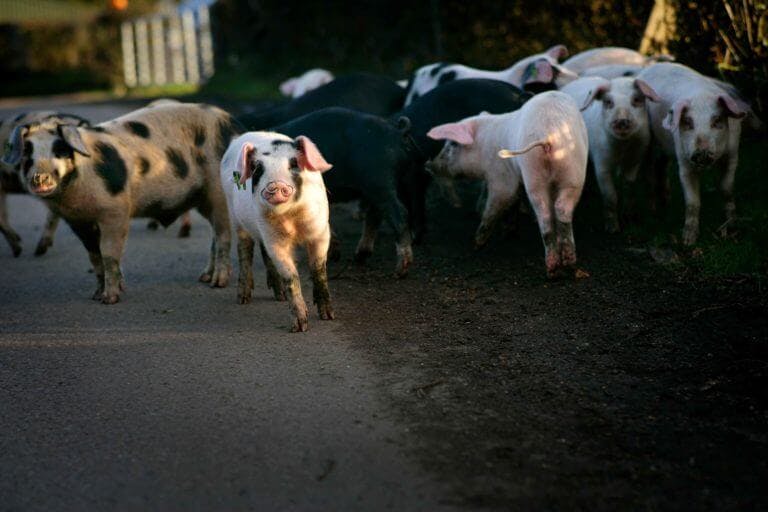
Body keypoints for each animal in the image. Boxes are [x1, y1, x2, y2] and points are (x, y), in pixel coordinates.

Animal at [220, 131, 334, 332]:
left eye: (294, 164)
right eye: (258, 168)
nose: (276, 185)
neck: (290, 218)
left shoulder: (320, 232)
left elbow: (318, 269)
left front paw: (328, 316)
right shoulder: (274, 241)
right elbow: (290, 275)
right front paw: (299, 327)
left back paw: (279, 295)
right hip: (236, 219)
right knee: (245, 251)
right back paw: (243, 299)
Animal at [274, 107, 423, 277]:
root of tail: (398, 131)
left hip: (379, 182)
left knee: (398, 213)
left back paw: (400, 271)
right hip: (392, 181)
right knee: (375, 215)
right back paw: (359, 257)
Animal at [427, 91, 588, 277]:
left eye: (452, 144)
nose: (429, 165)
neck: (484, 146)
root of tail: (547, 133)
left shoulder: (500, 175)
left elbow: (499, 202)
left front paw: (477, 244)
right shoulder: (512, 178)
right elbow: (510, 202)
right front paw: (507, 232)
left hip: (549, 168)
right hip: (555, 172)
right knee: (554, 210)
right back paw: (560, 268)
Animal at [561, 76, 661, 232]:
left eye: (636, 99)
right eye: (608, 102)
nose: (622, 121)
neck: (622, 149)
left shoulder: (635, 160)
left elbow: (628, 185)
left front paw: (629, 218)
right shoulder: (601, 163)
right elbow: (610, 196)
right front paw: (613, 230)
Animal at [638, 62, 749, 245]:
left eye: (717, 120)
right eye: (688, 122)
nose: (701, 152)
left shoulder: (733, 155)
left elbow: (726, 188)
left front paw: (732, 224)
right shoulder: (684, 163)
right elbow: (692, 202)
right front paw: (688, 241)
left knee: (661, 166)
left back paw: (666, 202)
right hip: (647, 140)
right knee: (647, 171)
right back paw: (653, 211)